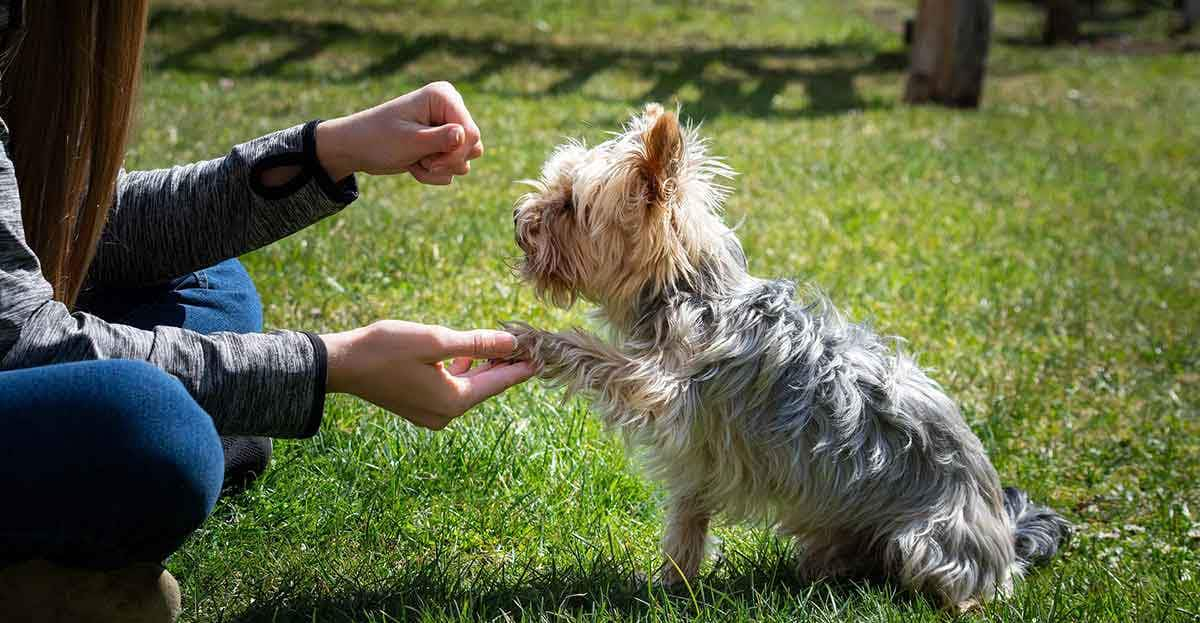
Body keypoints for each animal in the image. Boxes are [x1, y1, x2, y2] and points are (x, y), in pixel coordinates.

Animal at [504, 103, 1070, 609]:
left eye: (569, 204)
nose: (516, 217)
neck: (692, 292)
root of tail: (1006, 539)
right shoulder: (699, 454)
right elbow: (688, 518)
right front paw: (672, 584)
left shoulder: (663, 387)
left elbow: (599, 357)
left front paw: (535, 339)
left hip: (928, 542)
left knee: (957, 589)